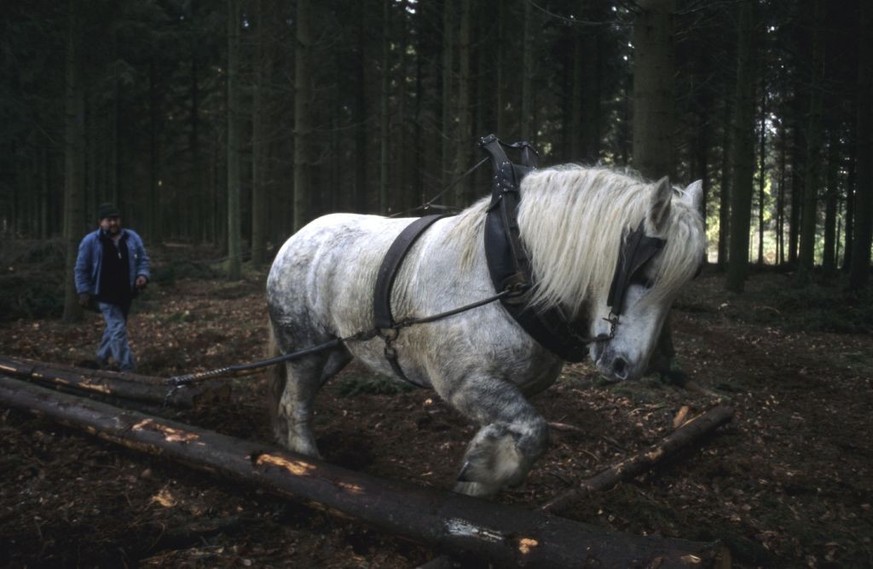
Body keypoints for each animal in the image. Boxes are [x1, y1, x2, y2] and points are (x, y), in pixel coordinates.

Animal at [265, 165, 705, 497]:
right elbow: (536, 431)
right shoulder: (463, 382)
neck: (513, 272)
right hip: (305, 346)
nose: (625, 366)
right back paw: (307, 463)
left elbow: (518, 434)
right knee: (297, 402)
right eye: (644, 275)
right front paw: (484, 467)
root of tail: (295, 237)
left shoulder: (513, 390)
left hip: (336, 349)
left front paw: (480, 471)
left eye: (681, 285)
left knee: (291, 395)